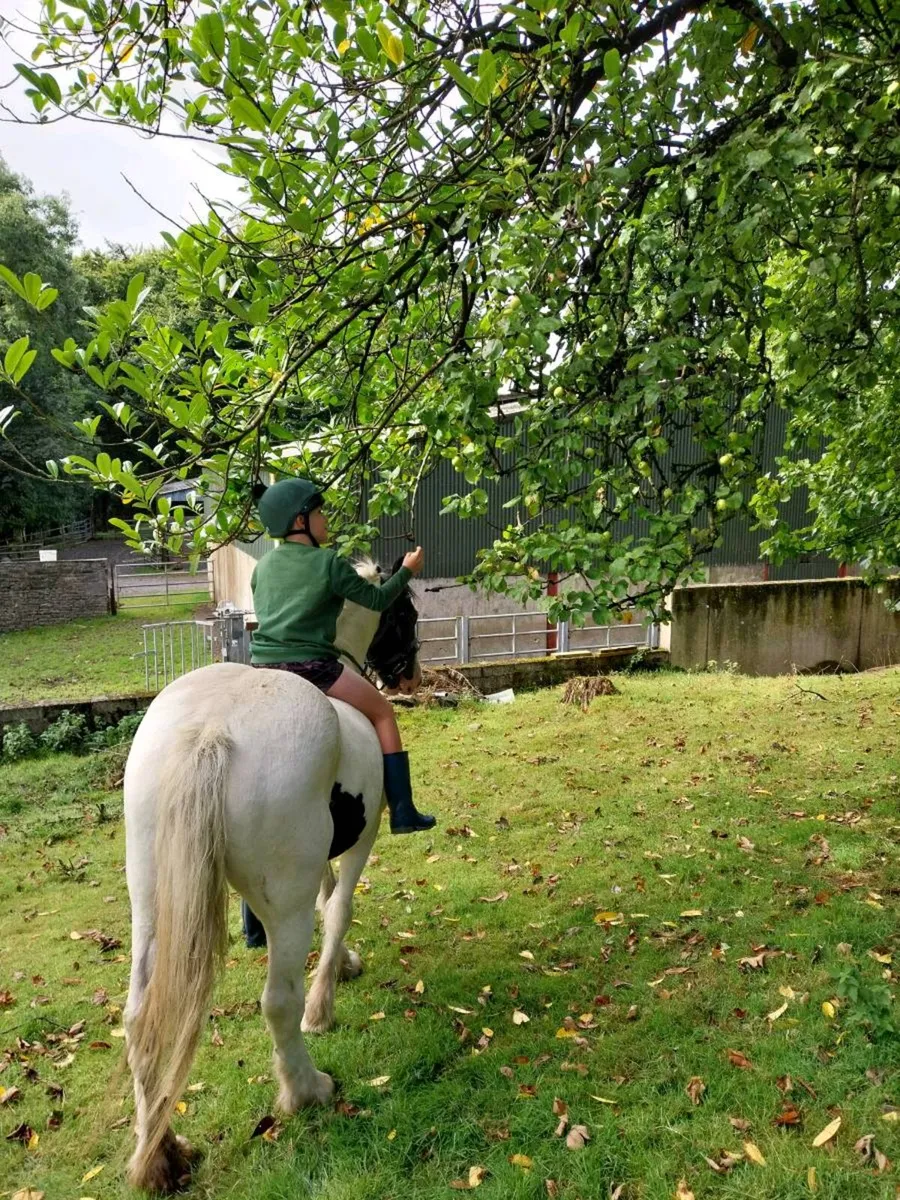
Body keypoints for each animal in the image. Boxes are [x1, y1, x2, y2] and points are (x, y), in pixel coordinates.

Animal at [122, 560, 420, 1191]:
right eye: (404, 613)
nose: (410, 673)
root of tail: (210, 731)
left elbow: (329, 899)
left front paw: (343, 966)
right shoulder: (361, 841)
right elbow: (340, 906)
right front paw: (324, 1005)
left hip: (151, 905)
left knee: (139, 1020)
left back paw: (161, 1154)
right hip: (283, 902)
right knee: (277, 1002)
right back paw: (307, 1090)